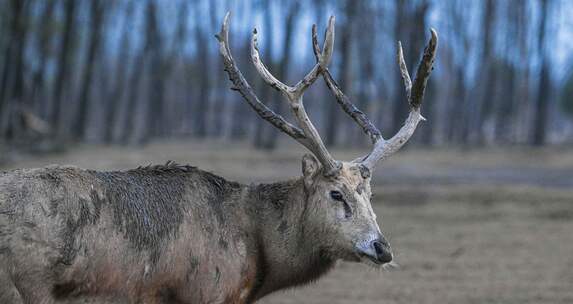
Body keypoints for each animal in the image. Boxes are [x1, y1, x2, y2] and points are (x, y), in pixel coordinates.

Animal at [0, 12, 436, 304]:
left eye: (370, 194)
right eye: (335, 194)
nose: (382, 248)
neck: (257, 252)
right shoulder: (205, 292)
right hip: (27, 287)